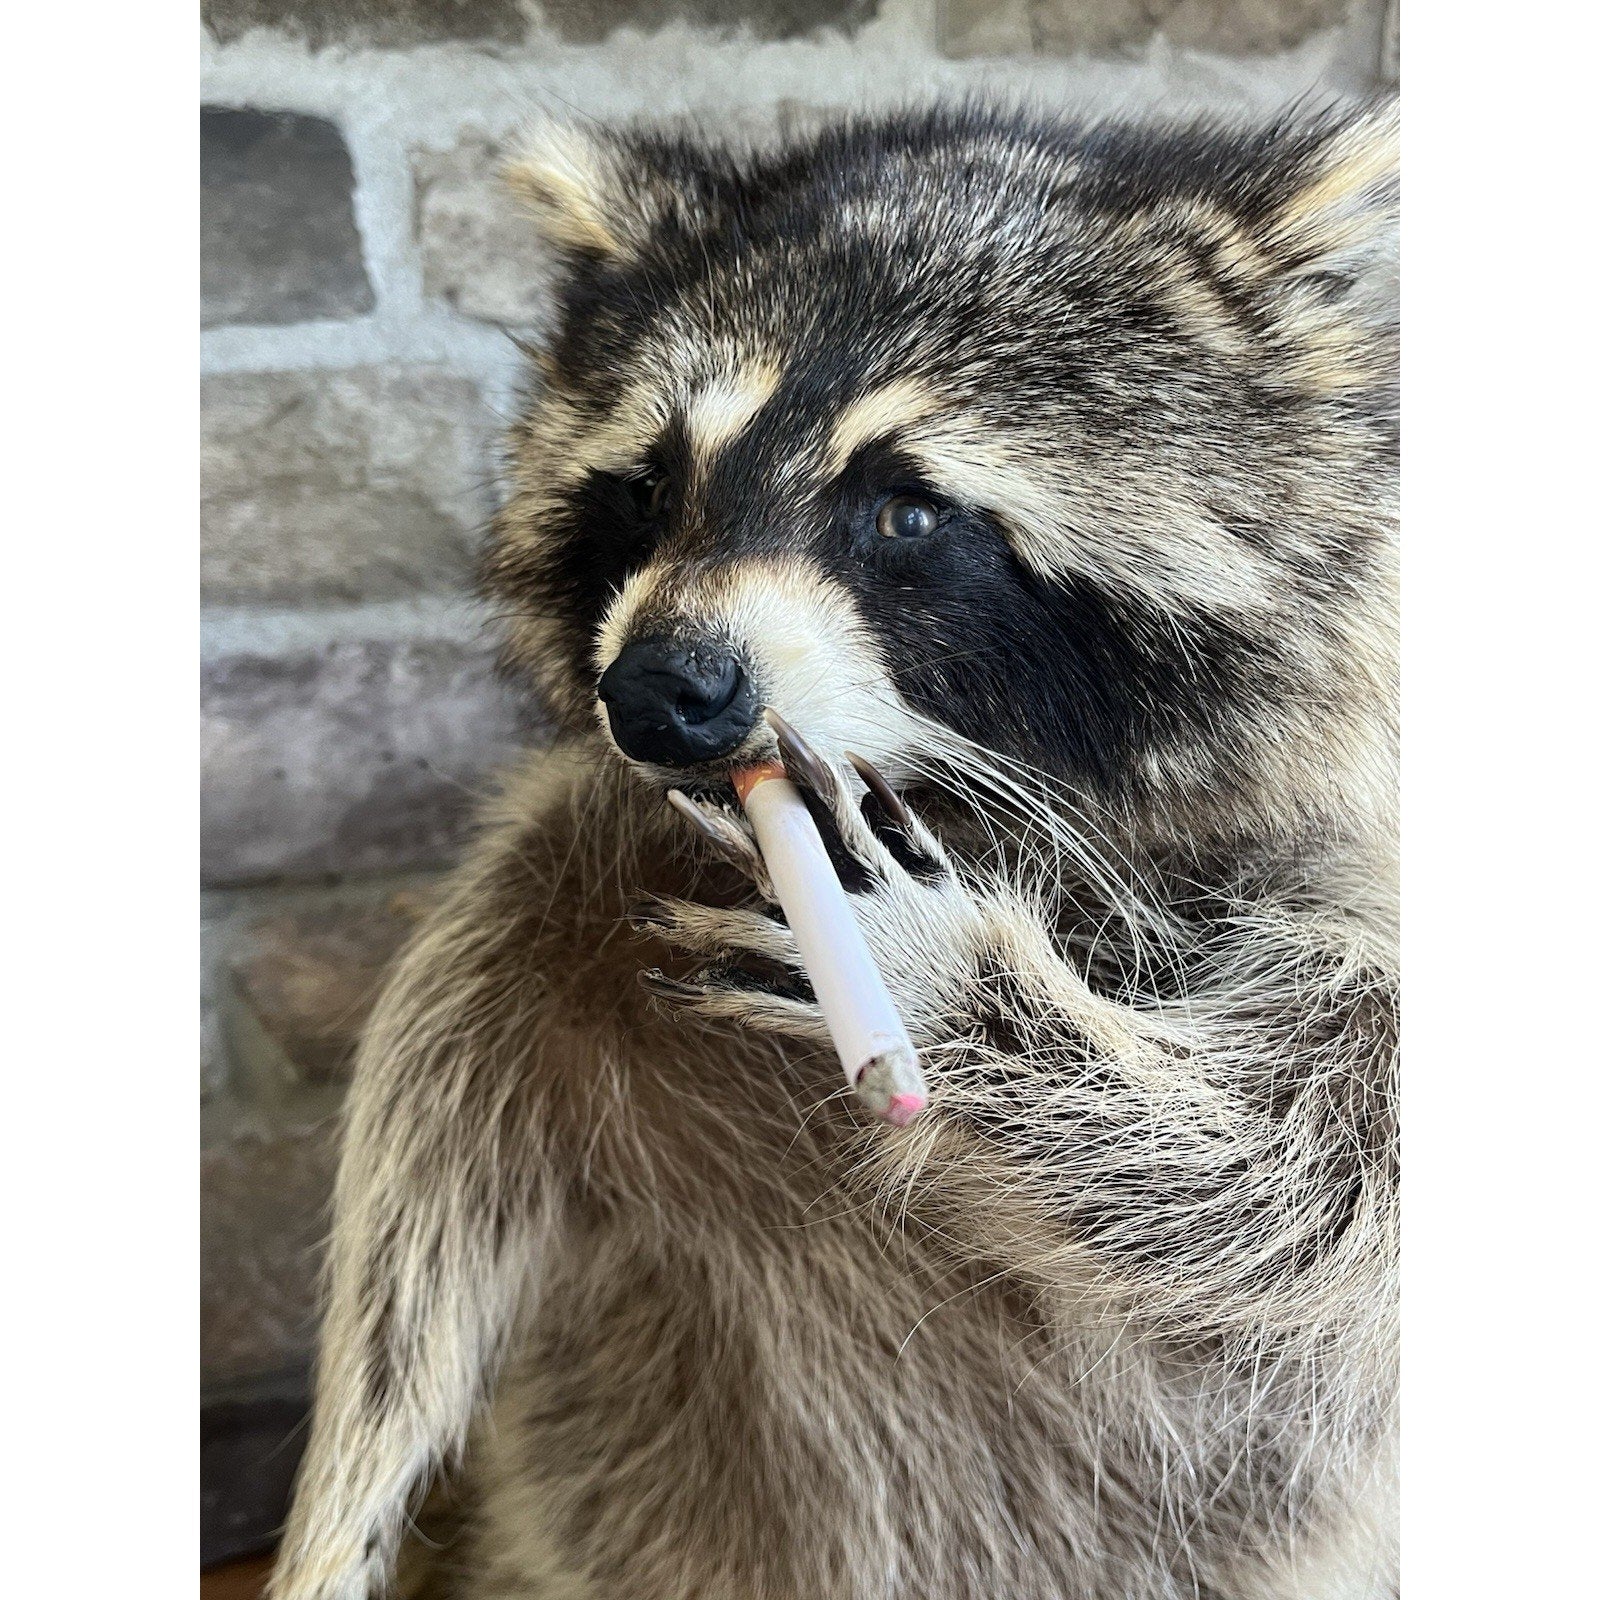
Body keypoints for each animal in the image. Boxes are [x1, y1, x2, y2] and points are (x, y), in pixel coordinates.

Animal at [269, 101, 1399, 1600]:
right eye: (653, 486)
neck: (949, 803)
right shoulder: (578, 861)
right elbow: (426, 1155)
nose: (659, 692)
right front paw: (342, 1496)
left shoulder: (1346, 851)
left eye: (907, 511)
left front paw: (959, 985)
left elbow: (1329, 1162)